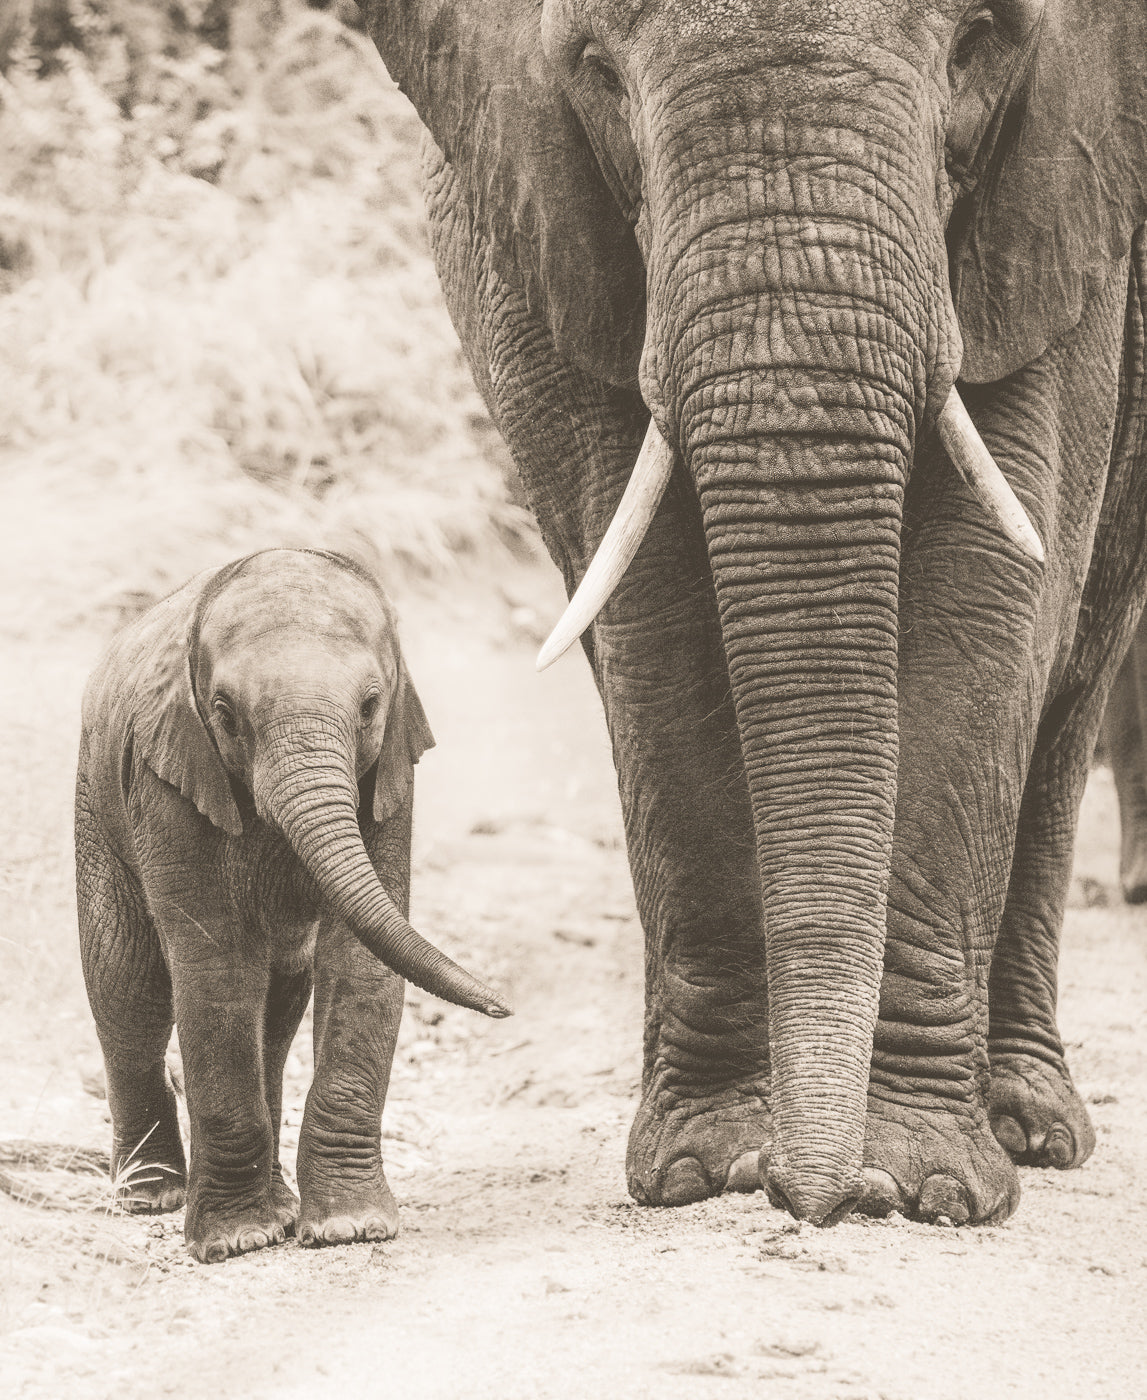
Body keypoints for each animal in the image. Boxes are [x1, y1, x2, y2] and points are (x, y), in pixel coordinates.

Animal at [75, 547, 509, 1263]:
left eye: (371, 706)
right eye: (223, 711)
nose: (504, 1007)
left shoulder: (389, 781)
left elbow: (358, 960)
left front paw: (350, 1229)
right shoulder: (166, 783)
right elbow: (216, 967)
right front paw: (236, 1242)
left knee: (278, 998)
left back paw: (273, 1202)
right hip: (96, 800)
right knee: (129, 988)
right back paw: (153, 1195)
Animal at [357, 0, 1147, 1226]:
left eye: (980, 42)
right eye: (595, 68)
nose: (813, 1196)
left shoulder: (1059, 207)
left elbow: (987, 596)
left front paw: (919, 1180)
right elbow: (655, 620)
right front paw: (706, 1165)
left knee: (1069, 689)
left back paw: (1030, 1125)